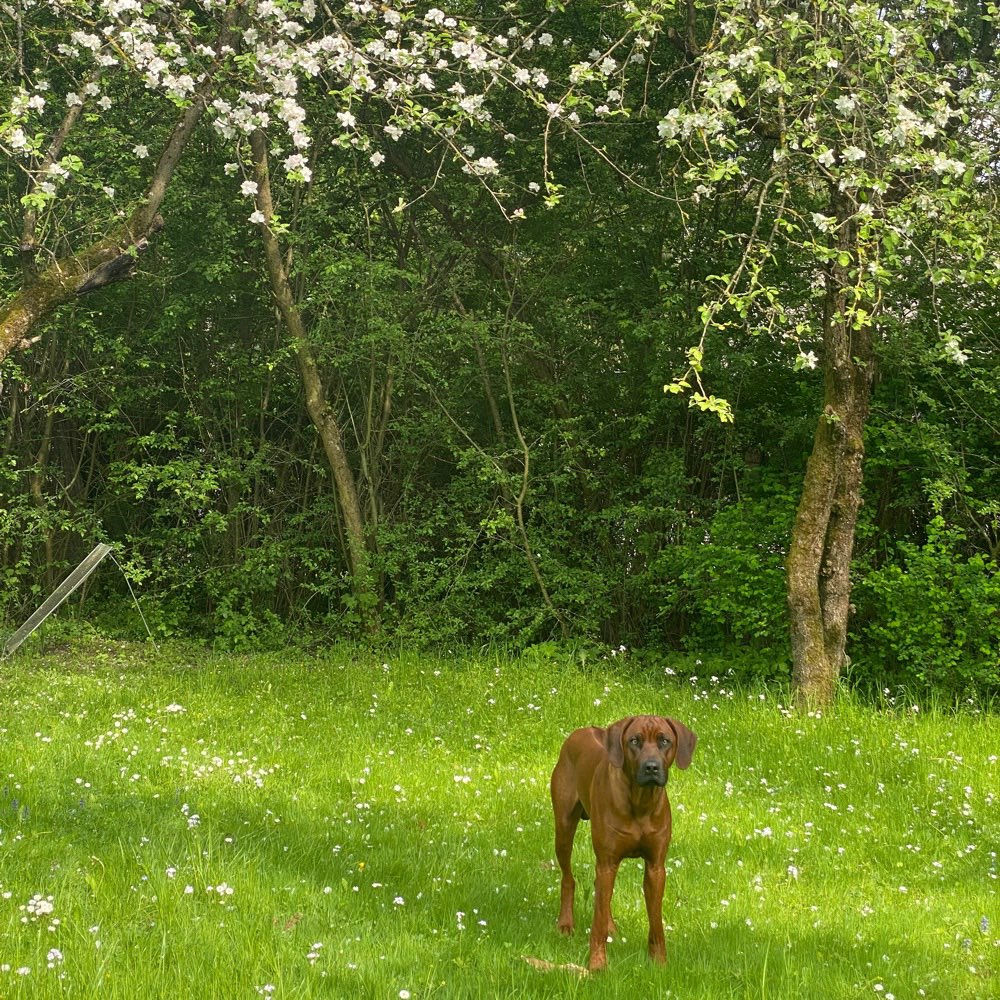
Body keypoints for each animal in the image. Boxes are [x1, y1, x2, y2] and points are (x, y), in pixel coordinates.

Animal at [548, 716, 696, 972]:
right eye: (634, 740)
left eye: (664, 741)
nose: (651, 767)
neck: (640, 802)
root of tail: (580, 732)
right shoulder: (607, 861)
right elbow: (596, 923)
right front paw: (597, 964)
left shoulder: (656, 867)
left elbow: (656, 922)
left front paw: (659, 962)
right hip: (564, 829)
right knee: (569, 878)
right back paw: (566, 923)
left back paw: (611, 927)